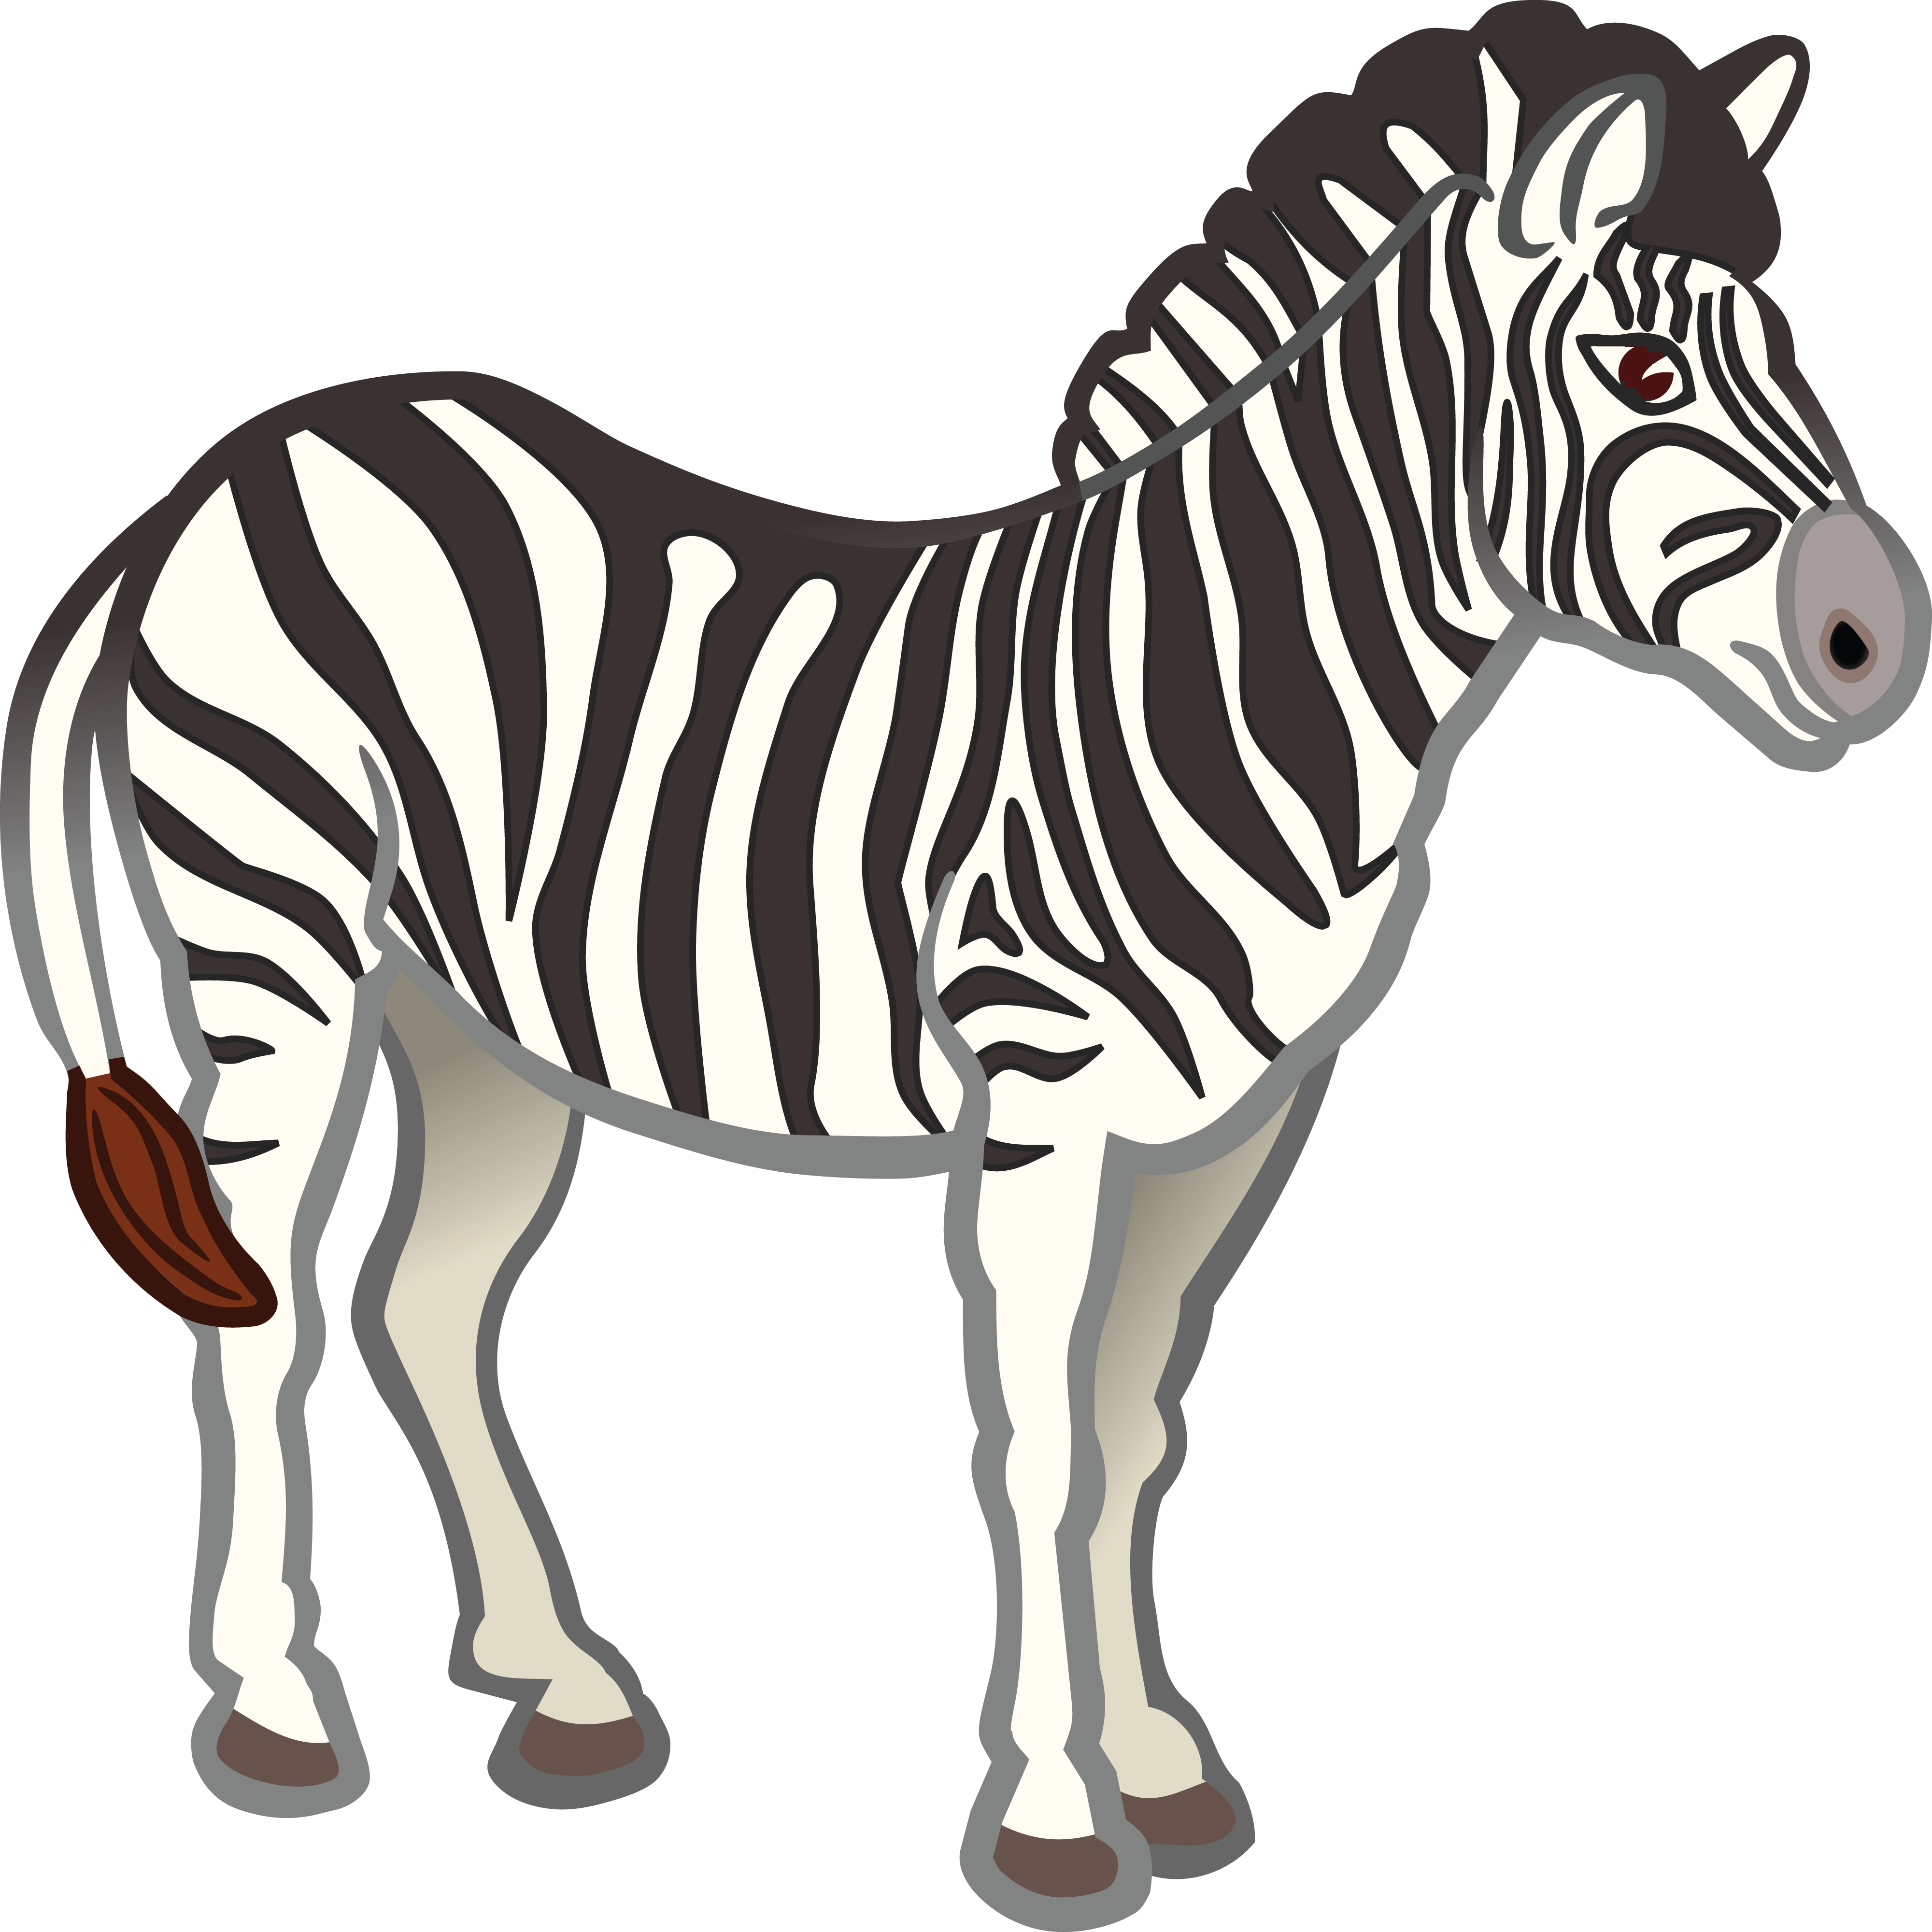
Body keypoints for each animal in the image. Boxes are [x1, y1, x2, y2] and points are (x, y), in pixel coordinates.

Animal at [4, 9, 1924, 1928]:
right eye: (1641, 372)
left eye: (1774, 354)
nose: (1874, 645)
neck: (1235, 677)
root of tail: (218, 480)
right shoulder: (1042, 1091)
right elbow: (1044, 1444)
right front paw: (1055, 1819)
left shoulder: (1235, 1121)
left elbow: (1135, 1427)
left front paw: (1166, 1768)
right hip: (277, 930)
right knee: (263, 1296)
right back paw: (277, 1713)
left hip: (469, 1012)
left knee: (426, 1298)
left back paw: (561, 1688)